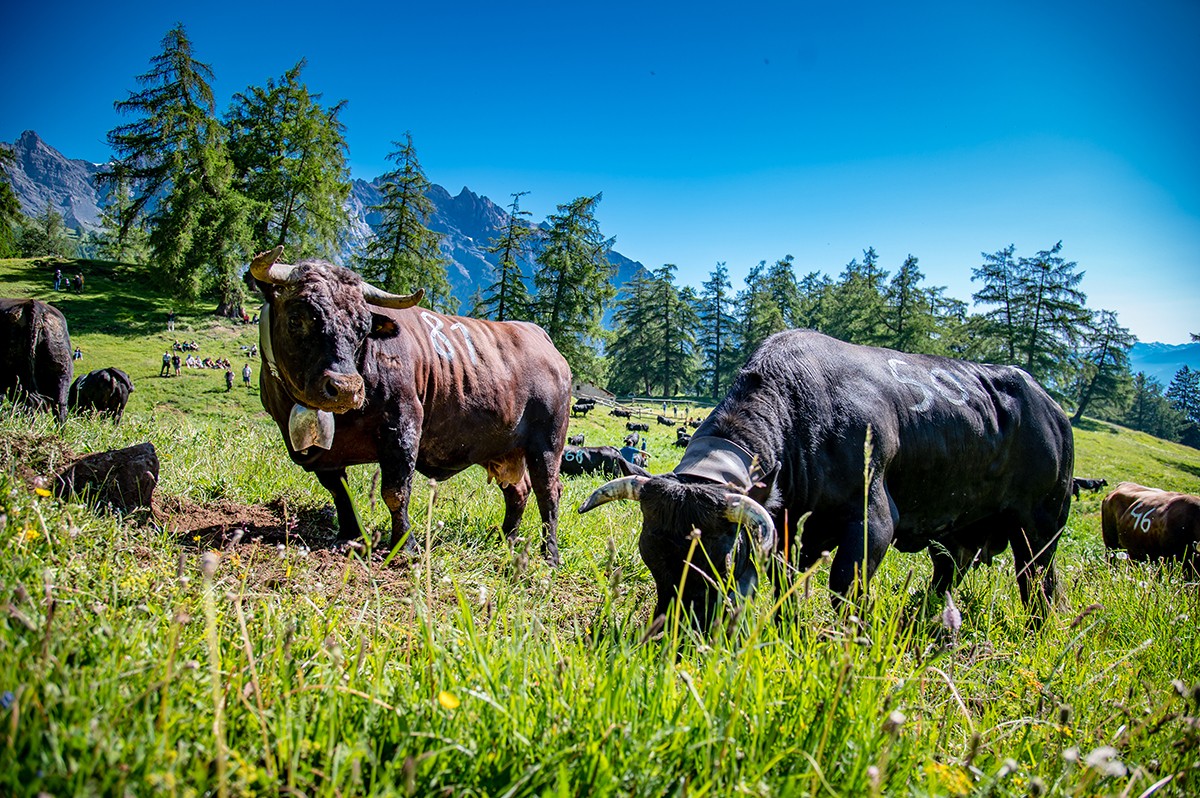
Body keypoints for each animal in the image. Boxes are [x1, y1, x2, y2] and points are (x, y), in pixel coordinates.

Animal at [246, 246, 573, 564]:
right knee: (518, 490)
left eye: (362, 328)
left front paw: (405, 547)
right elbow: (340, 492)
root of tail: (541, 338)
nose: (346, 388)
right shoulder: (324, 455)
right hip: (501, 449)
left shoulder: (402, 425)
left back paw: (550, 555)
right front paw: (349, 536)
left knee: (548, 492)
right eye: (296, 319)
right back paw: (506, 539)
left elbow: (396, 492)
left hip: (547, 443)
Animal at [576, 328, 1075, 628]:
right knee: (948, 570)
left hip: (1040, 529)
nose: (678, 632)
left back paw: (1037, 630)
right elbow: (786, 586)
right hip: (954, 533)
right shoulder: (786, 529)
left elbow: (844, 587)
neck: (804, 422)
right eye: (650, 555)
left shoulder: (873, 524)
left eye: (723, 558)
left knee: (1038, 584)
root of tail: (1053, 409)